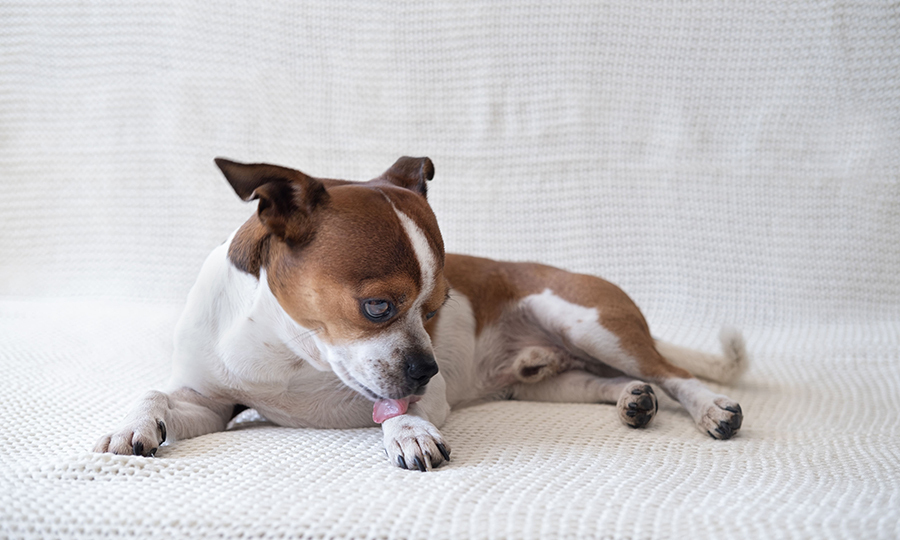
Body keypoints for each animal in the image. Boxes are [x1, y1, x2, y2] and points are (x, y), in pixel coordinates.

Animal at [95, 155, 748, 468]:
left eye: (437, 309)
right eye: (378, 306)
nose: (429, 368)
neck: (291, 353)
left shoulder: (414, 394)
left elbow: (398, 411)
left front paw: (408, 433)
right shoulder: (211, 404)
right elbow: (157, 395)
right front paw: (132, 425)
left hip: (589, 324)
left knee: (674, 374)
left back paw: (710, 408)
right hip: (545, 382)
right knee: (603, 381)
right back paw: (632, 400)